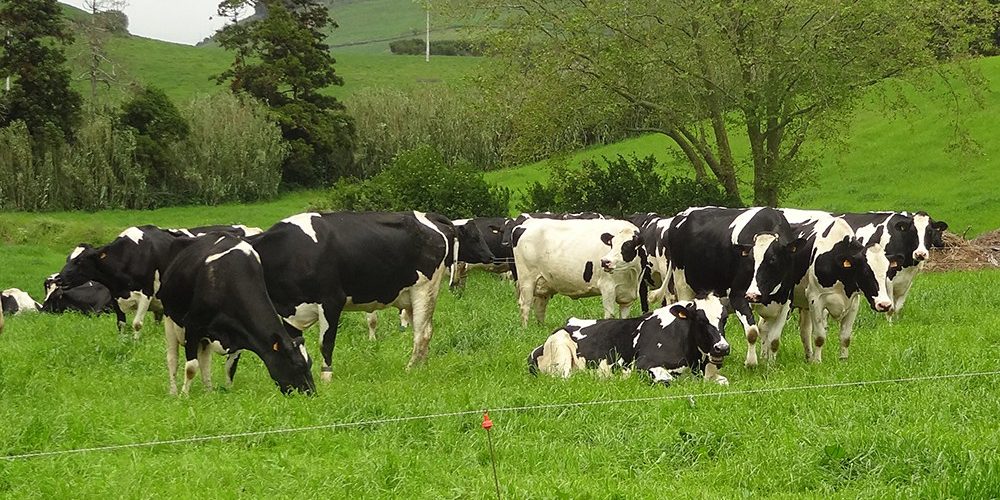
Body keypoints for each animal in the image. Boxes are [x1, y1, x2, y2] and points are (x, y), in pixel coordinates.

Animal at [158, 233, 314, 395]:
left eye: (309, 364)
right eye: (298, 365)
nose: (311, 393)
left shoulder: (240, 333)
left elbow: (230, 367)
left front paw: (227, 391)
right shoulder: (193, 324)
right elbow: (191, 367)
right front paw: (184, 395)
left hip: (203, 338)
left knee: (205, 361)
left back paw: (208, 391)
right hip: (169, 318)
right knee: (173, 358)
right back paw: (173, 391)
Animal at [248, 211, 483, 381]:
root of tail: (429, 217)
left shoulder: (331, 301)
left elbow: (326, 343)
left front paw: (326, 381)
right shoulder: (290, 313)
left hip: (424, 290)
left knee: (421, 334)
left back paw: (410, 369)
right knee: (428, 331)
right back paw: (422, 367)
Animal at [511, 218, 645, 327]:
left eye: (627, 246)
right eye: (611, 244)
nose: (605, 262)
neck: (632, 276)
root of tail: (526, 224)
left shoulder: (627, 298)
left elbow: (625, 317)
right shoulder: (608, 287)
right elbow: (610, 315)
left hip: (543, 282)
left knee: (540, 306)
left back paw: (541, 327)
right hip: (526, 280)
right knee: (525, 305)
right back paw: (525, 329)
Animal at [528, 295, 731, 386]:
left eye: (724, 319)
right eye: (700, 320)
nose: (722, 348)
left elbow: (724, 381)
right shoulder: (643, 364)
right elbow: (667, 379)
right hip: (561, 353)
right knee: (564, 378)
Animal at [666, 207, 805, 366]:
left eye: (773, 260)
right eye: (749, 260)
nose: (752, 295)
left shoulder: (787, 299)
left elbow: (774, 339)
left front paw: (770, 364)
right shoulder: (738, 295)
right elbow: (752, 332)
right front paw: (751, 363)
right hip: (682, 285)